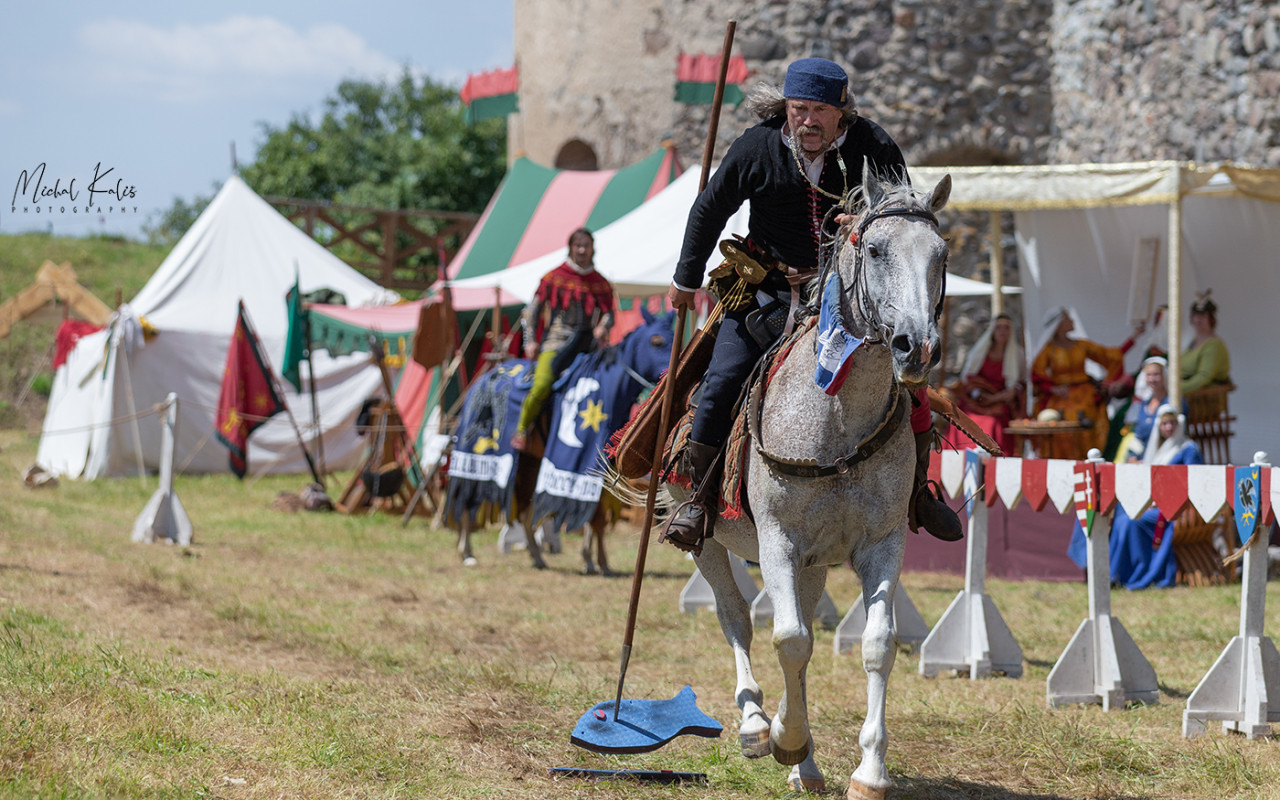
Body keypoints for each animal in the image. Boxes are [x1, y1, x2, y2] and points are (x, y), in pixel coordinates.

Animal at [680, 165, 952, 793]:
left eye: (941, 254)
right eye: (875, 250)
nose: (917, 346)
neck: (837, 418)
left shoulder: (879, 544)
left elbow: (875, 645)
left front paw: (868, 771)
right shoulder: (778, 542)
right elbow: (789, 638)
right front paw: (782, 735)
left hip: (813, 564)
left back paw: (803, 763)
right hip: (706, 541)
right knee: (737, 618)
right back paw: (757, 725)